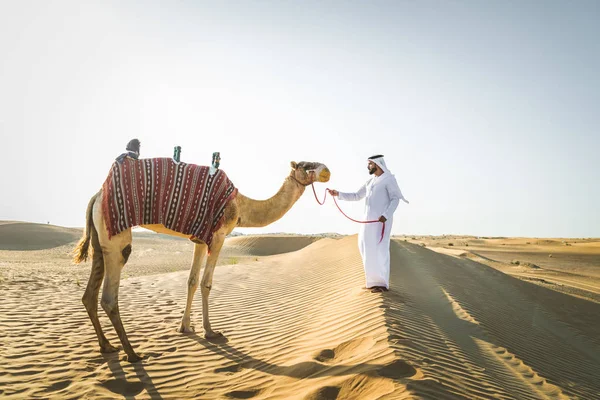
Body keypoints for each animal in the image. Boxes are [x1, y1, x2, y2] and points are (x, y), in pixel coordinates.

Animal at [72, 159, 330, 362]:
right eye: (307, 166)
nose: (327, 171)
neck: (241, 206)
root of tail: (96, 196)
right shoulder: (218, 236)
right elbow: (206, 283)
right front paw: (210, 331)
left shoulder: (199, 240)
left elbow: (192, 281)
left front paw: (186, 327)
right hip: (116, 236)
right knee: (109, 296)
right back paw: (133, 354)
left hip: (99, 240)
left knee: (89, 294)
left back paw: (107, 347)